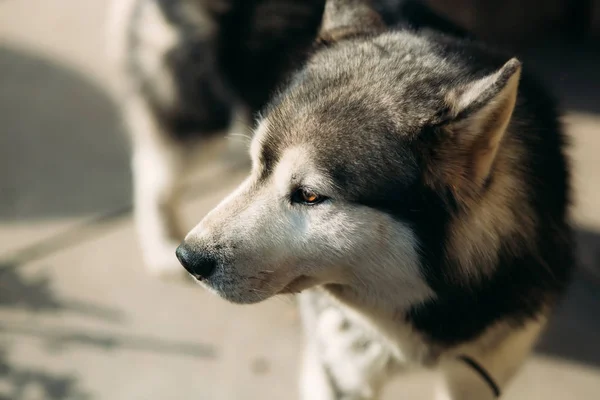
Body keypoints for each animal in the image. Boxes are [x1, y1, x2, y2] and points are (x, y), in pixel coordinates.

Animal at [106, 0, 572, 400]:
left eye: (310, 195)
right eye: (257, 165)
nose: (191, 258)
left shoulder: (481, 370)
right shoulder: (340, 370)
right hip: (196, 121)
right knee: (151, 170)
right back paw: (159, 244)